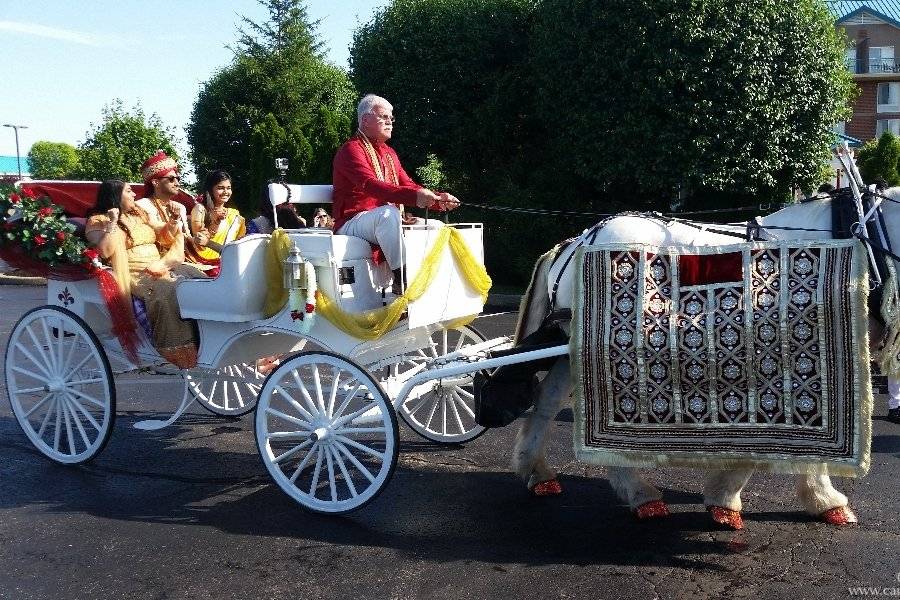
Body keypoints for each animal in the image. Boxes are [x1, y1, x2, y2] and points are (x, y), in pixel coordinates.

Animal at [510, 193, 896, 528]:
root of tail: (576, 241)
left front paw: (816, 499)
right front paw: (730, 501)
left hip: (570, 346)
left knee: (549, 400)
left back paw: (538, 473)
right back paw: (641, 495)